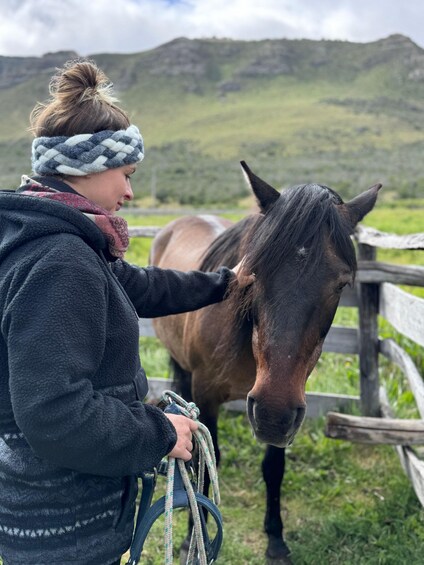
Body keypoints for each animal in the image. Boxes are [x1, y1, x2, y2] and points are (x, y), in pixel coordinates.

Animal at [150, 161, 380, 560]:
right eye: (253, 274)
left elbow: (274, 466)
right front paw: (194, 537)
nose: (273, 413)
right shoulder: (207, 395)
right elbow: (207, 463)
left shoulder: (287, 401)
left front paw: (275, 538)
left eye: (341, 284)